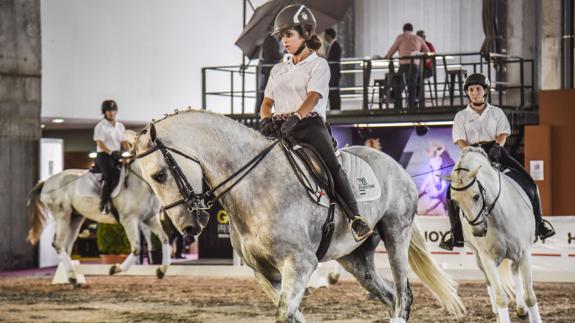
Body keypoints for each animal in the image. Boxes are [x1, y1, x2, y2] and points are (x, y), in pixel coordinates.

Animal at [26, 152, 170, 286]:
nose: (161, 176)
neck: (141, 181)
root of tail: (46, 182)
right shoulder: (129, 220)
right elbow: (136, 249)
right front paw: (115, 269)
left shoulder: (150, 219)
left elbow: (164, 239)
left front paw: (161, 270)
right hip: (63, 215)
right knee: (58, 244)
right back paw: (72, 278)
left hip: (75, 218)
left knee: (66, 247)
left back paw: (73, 278)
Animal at [133, 110, 466, 322]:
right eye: (148, 180)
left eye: (160, 174)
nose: (188, 227)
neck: (256, 184)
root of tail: (396, 167)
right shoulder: (265, 274)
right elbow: (292, 315)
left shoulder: (300, 264)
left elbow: (285, 314)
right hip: (356, 258)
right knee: (389, 297)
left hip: (396, 234)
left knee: (403, 296)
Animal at [448, 147, 544, 323]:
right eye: (456, 201)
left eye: (476, 196)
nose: (478, 231)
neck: (499, 216)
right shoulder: (487, 258)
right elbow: (500, 297)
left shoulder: (524, 254)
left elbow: (530, 297)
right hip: (479, 257)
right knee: (490, 283)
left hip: (516, 254)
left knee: (514, 270)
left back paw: (522, 309)